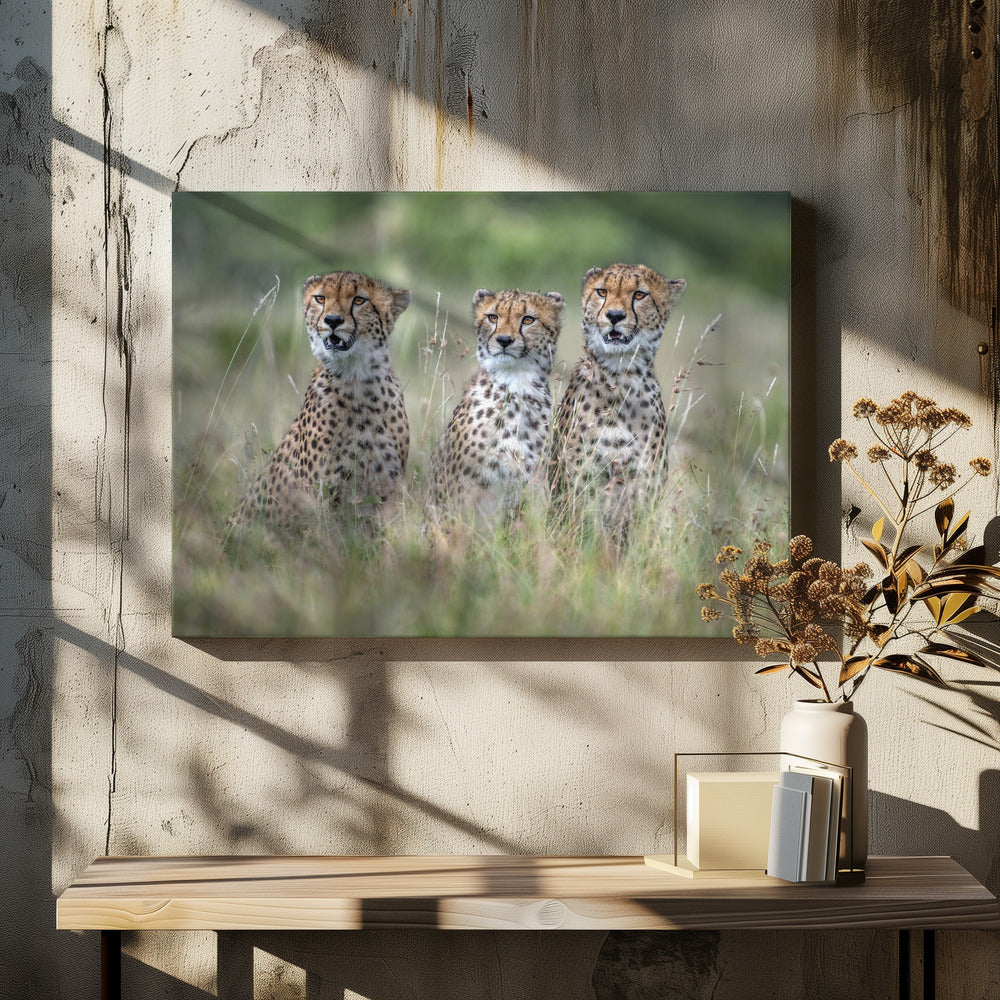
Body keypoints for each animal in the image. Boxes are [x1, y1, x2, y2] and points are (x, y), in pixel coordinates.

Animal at [227, 270, 411, 532]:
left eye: (359, 300)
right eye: (320, 298)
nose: (332, 320)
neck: (357, 378)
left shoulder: (386, 490)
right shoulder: (320, 493)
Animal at [548, 263, 686, 543]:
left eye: (640, 295)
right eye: (602, 291)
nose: (614, 315)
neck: (620, 376)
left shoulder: (644, 487)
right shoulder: (582, 483)